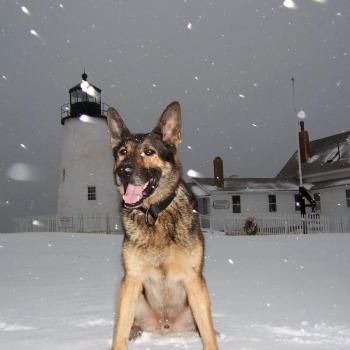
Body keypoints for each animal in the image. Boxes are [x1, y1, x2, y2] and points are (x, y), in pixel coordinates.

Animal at [106, 101, 219, 350]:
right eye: (122, 152)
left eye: (149, 152)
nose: (122, 172)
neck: (154, 214)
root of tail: (165, 327)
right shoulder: (131, 279)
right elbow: (119, 332)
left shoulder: (193, 279)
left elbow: (209, 337)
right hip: (130, 294)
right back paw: (135, 331)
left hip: (197, 298)